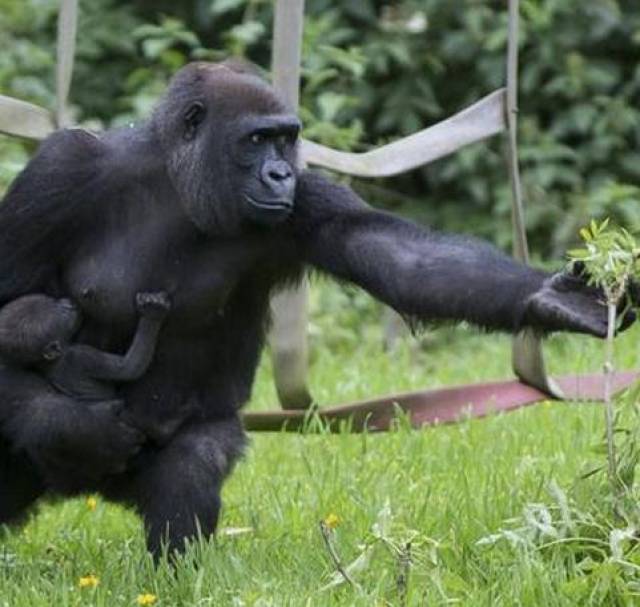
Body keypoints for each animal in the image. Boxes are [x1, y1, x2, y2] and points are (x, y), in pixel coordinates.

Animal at [0, 60, 624, 556]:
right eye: (256, 140)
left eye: (285, 141)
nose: (279, 172)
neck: (175, 179)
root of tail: (85, 494)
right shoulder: (61, 170)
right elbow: (12, 302)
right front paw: (74, 425)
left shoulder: (307, 200)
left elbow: (398, 258)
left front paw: (550, 301)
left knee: (193, 462)